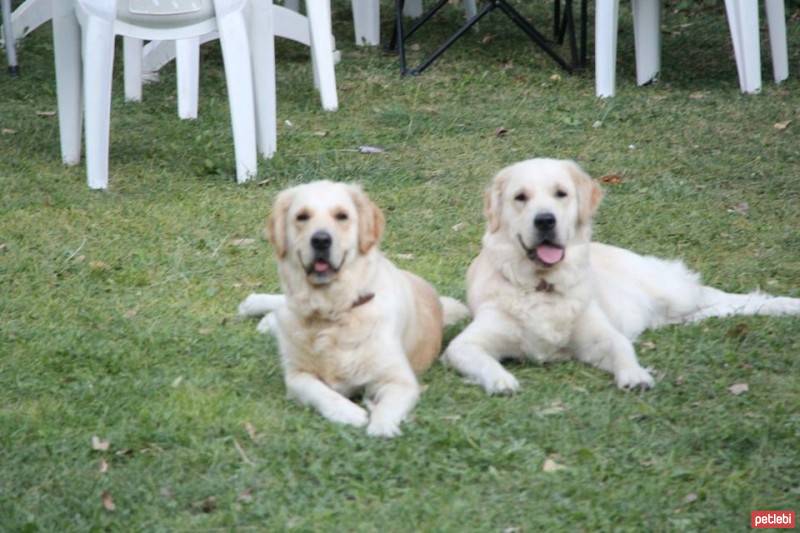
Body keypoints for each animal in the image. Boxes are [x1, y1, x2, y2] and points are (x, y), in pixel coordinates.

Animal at [238, 181, 468, 438]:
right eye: (302, 216)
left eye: (342, 216)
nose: (321, 240)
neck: (334, 313)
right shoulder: (296, 376)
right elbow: (321, 392)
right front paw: (348, 412)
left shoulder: (400, 380)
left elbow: (387, 408)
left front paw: (380, 428)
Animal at [444, 156, 800, 392]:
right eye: (520, 197)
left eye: (561, 193)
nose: (545, 220)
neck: (543, 285)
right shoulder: (465, 344)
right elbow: (480, 358)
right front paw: (501, 379)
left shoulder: (600, 335)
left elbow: (623, 349)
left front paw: (635, 376)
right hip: (679, 314)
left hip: (674, 293)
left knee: (728, 296)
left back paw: (787, 304)